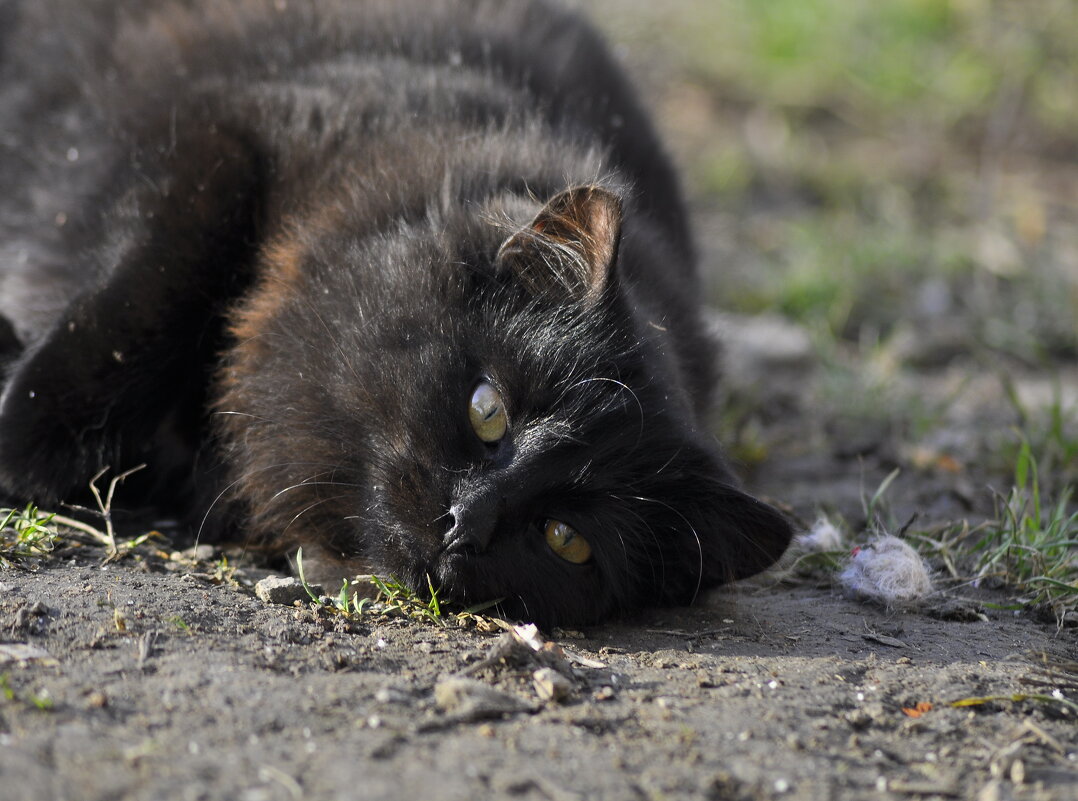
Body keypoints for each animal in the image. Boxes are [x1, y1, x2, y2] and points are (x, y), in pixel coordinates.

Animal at [0, 0, 793, 625]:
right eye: (487, 411)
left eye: (566, 538)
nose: (465, 523)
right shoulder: (222, 135)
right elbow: (144, 292)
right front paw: (26, 435)